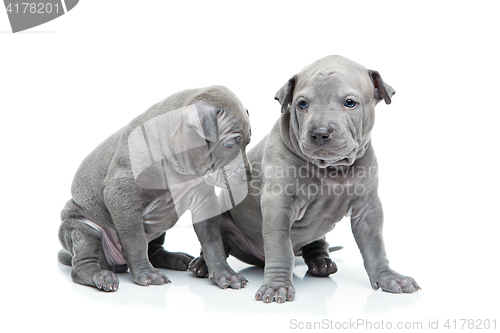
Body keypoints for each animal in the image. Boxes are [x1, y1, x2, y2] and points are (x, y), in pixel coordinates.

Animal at [59, 85, 252, 290]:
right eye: (228, 144)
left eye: (248, 141)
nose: (249, 176)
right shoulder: (122, 197)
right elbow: (136, 242)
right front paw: (146, 274)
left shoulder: (204, 202)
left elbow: (213, 241)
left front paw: (225, 273)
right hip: (83, 228)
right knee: (82, 264)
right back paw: (101, 275)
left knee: (153, 249)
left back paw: (174, 258)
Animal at [188, 56, 422, 300]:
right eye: (302, 104)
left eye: (350, 103)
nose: (320, 132)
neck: (332, 169)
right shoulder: (278, 204)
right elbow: (280, 246)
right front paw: (277, 285)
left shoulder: (368, 207)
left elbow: (375, 244)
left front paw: (389, 278)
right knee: (219, 241)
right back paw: (202, 264)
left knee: (317, 243)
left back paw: (321, 261)